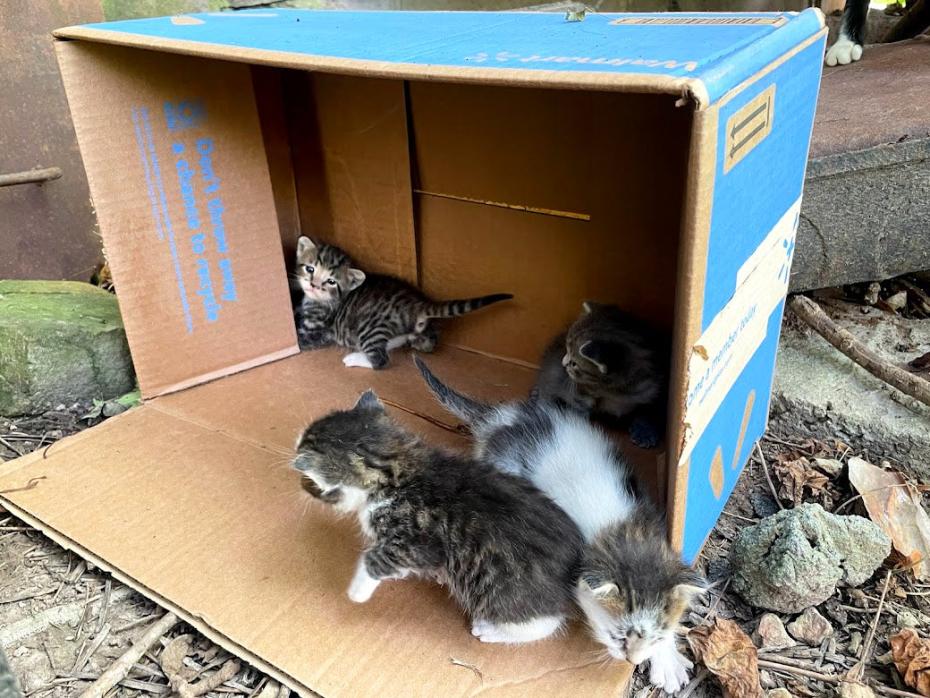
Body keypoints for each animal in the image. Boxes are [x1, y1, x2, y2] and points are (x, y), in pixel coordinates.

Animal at [292, 237, 512, 370]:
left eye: (331, 281)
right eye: (310, 269)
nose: (313, 285)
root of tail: (418, 303)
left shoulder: (319, 331)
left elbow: (303, 338)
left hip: (369, 328)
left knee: (380, 359)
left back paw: (355, 358)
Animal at [292, 388, 580, 644]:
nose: (296, 468)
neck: (400, 471)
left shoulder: (418, 542)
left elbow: (376, 558)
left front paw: (356, 592)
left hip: (501, 591)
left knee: (542, 624)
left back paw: (492, 631)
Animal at [414, 358, 704, 692]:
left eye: (655, 637)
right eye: (616, 636)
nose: (632, 660)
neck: (626, 532)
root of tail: (504, 418)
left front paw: (667, 659)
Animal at [528, 302, 668, 448]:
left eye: (574, 363)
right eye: (567, 348)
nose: (563, 363)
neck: (614, 393)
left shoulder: (655, 387)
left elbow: (653, 409)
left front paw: (646, 430)